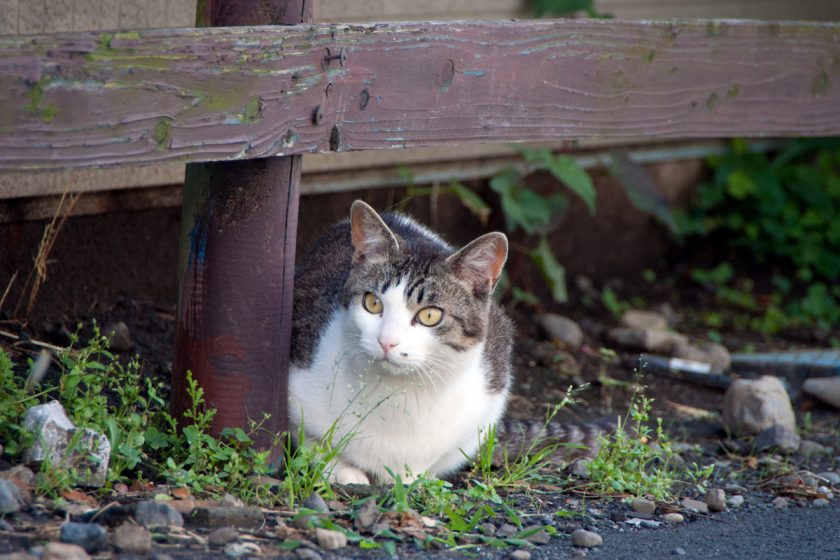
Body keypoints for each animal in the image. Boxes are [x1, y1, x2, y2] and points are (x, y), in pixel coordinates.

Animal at [288, 199, 512, 484]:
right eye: (372, 303)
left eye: (430, 315)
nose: (387, 341)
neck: (395, 393)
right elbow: (310, 441)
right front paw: (341, 471)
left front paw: (410, 479)